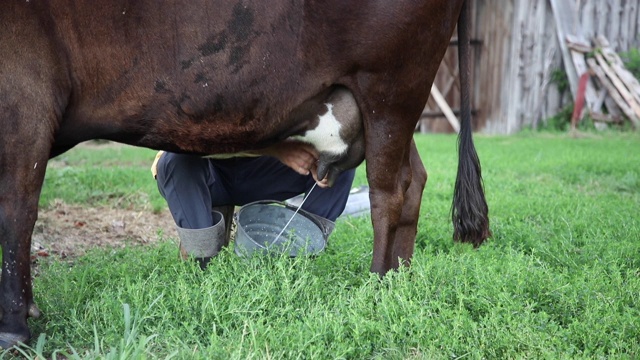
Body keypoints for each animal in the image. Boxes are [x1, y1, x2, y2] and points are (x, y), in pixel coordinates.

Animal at [1, 0, 490, 348]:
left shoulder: (24, 102)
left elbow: (16, 213)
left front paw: (13, 329)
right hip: (390, 107)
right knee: (415, 178)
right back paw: (399, 278)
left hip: (390, 86)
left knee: (391, 189)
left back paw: (377, 283)